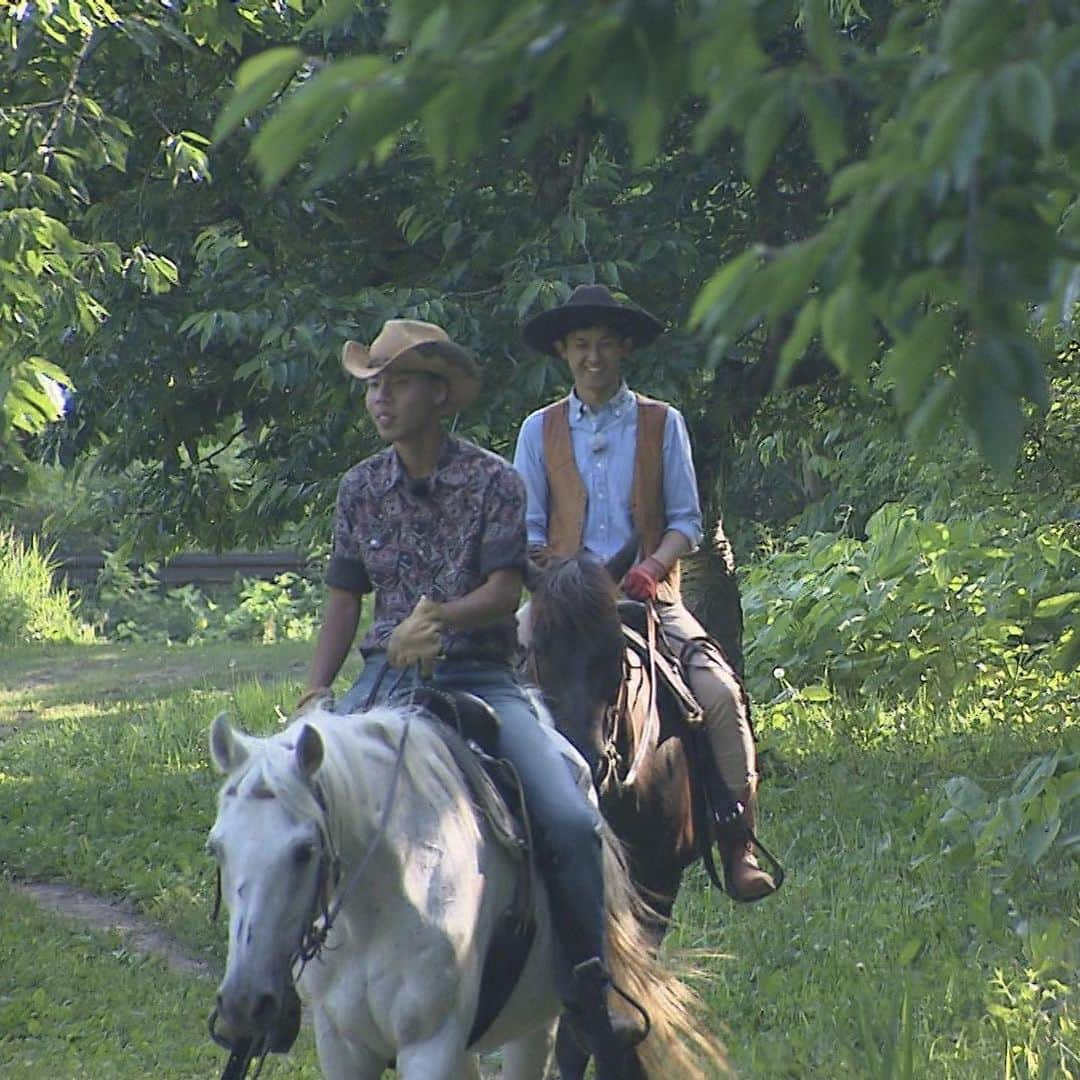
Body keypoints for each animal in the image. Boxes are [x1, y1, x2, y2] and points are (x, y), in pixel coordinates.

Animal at [204, 704, 725, 1075]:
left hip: (538, 1024)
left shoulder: (430, 1047)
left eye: (305, 850)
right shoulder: (344, 1047)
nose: (244, 1005)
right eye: (217, 848)